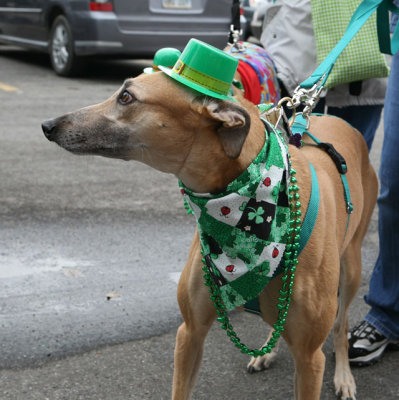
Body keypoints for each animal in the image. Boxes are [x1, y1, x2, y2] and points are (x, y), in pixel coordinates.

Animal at [42, 41, 376, 400]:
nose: (48, 125)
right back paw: (267, 352)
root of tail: (340, 121)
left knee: (341, 324)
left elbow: (319, 345)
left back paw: (344, 376)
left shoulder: (310, 358)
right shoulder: (190, 331)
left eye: (127, 97)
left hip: (351, 267)